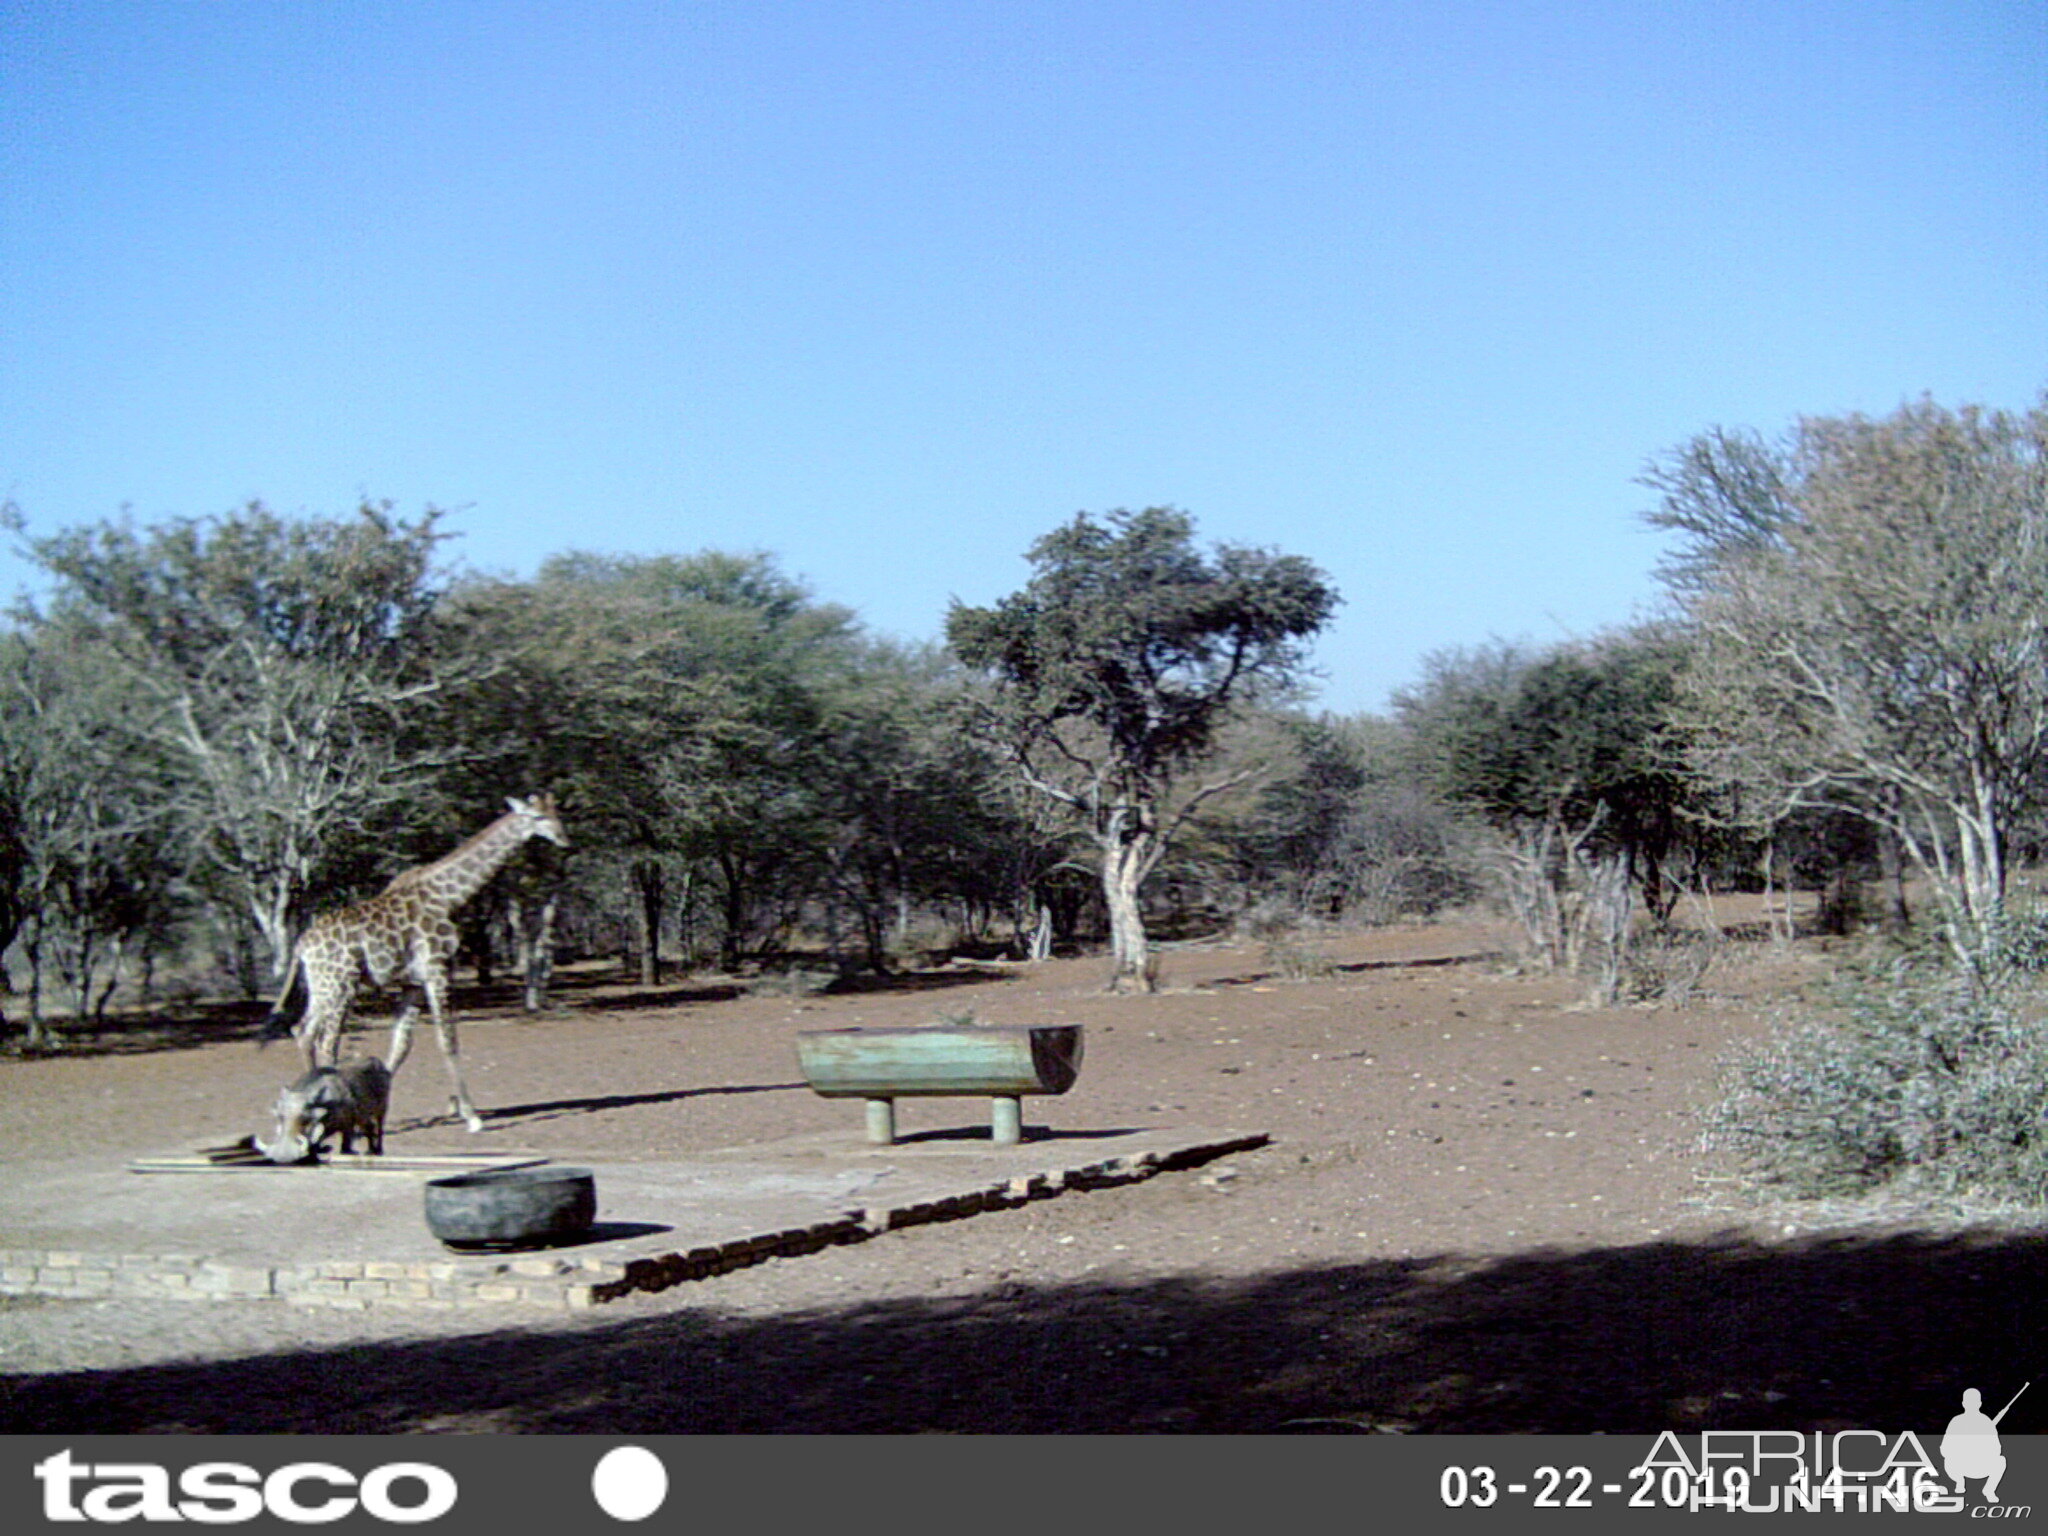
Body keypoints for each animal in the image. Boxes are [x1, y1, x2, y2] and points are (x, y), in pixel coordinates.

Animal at [270, 798, 569, 1138]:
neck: (450, 895)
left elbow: (401, 1044)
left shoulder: (411, 982)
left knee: (304, 1030)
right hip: (342, 983)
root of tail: (301, 945)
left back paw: (314, 1104)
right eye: (538, 817)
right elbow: (447, 1039)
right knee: (326, 1043)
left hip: (322, 985)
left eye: (557, 814)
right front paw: (471, 1115)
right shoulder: (438, 968)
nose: (564, 841)